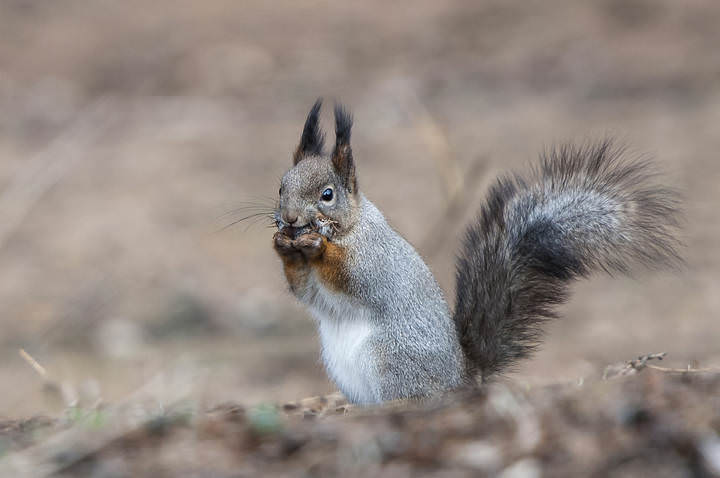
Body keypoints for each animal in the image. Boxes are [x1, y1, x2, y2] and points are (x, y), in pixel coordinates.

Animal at [272, 99, 681, 405]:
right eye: (280, 187)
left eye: (327, 195)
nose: (289, 220)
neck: (351, 227)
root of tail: (463, 379)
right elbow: (304, 291)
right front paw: (284, 247)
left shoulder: (372, 259)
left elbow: (349, 276)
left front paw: (319, 246)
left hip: (391, 360)